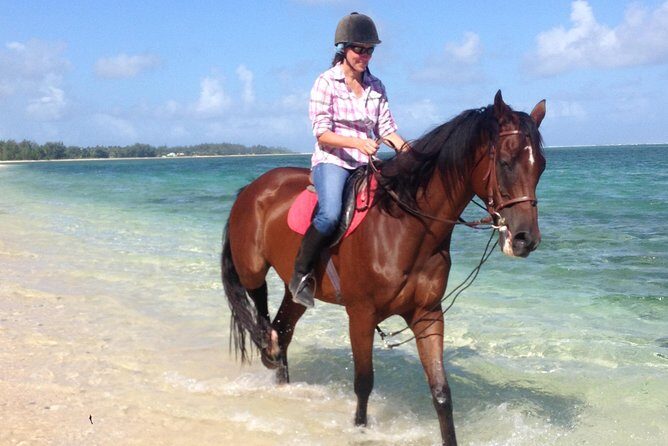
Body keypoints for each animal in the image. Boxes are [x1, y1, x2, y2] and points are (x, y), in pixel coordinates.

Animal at [221, 90, 546, 445]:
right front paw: (360, 430)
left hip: (298, 295)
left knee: (284, 329)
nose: (525, 239)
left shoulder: (427, 314)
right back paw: (266, 341)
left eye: (541, 167)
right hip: (252, 268)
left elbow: (441, 392)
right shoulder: (361, 316)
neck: (404, 226)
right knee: (262, 309)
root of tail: (251, 189)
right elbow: (364, 383)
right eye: (505, 163)